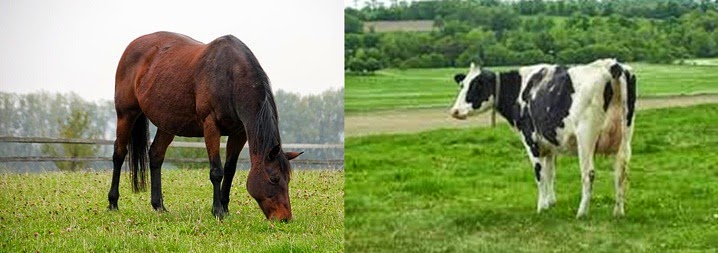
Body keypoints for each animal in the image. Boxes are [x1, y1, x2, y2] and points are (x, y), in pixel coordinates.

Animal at [107, 31, 300, 220]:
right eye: (274, 178)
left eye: (288, 179)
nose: (285, 218)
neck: (230, 76)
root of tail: (133, 46)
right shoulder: (211, 127)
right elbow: (216, 171)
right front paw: (217, 211)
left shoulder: (239, 133)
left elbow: (230, 169)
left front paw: (225, 207)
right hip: (126, 115)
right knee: (119, 153)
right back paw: (113, 203)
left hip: (167, 124)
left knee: (156, 154)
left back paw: (159, 206)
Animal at [452, 58, 640, 217]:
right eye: (462, 84)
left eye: (476, 86)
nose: (454, 111)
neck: (520, 89)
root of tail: (611, 65)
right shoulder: (549, 145)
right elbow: (550, 173)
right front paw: (551, 202)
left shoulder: (531, 139)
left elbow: (539, 173)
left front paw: (541, 207)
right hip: (625, 137)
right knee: (621, 172)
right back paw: (618, 212)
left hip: (586, 137)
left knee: (589, 173)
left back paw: (581, 213)